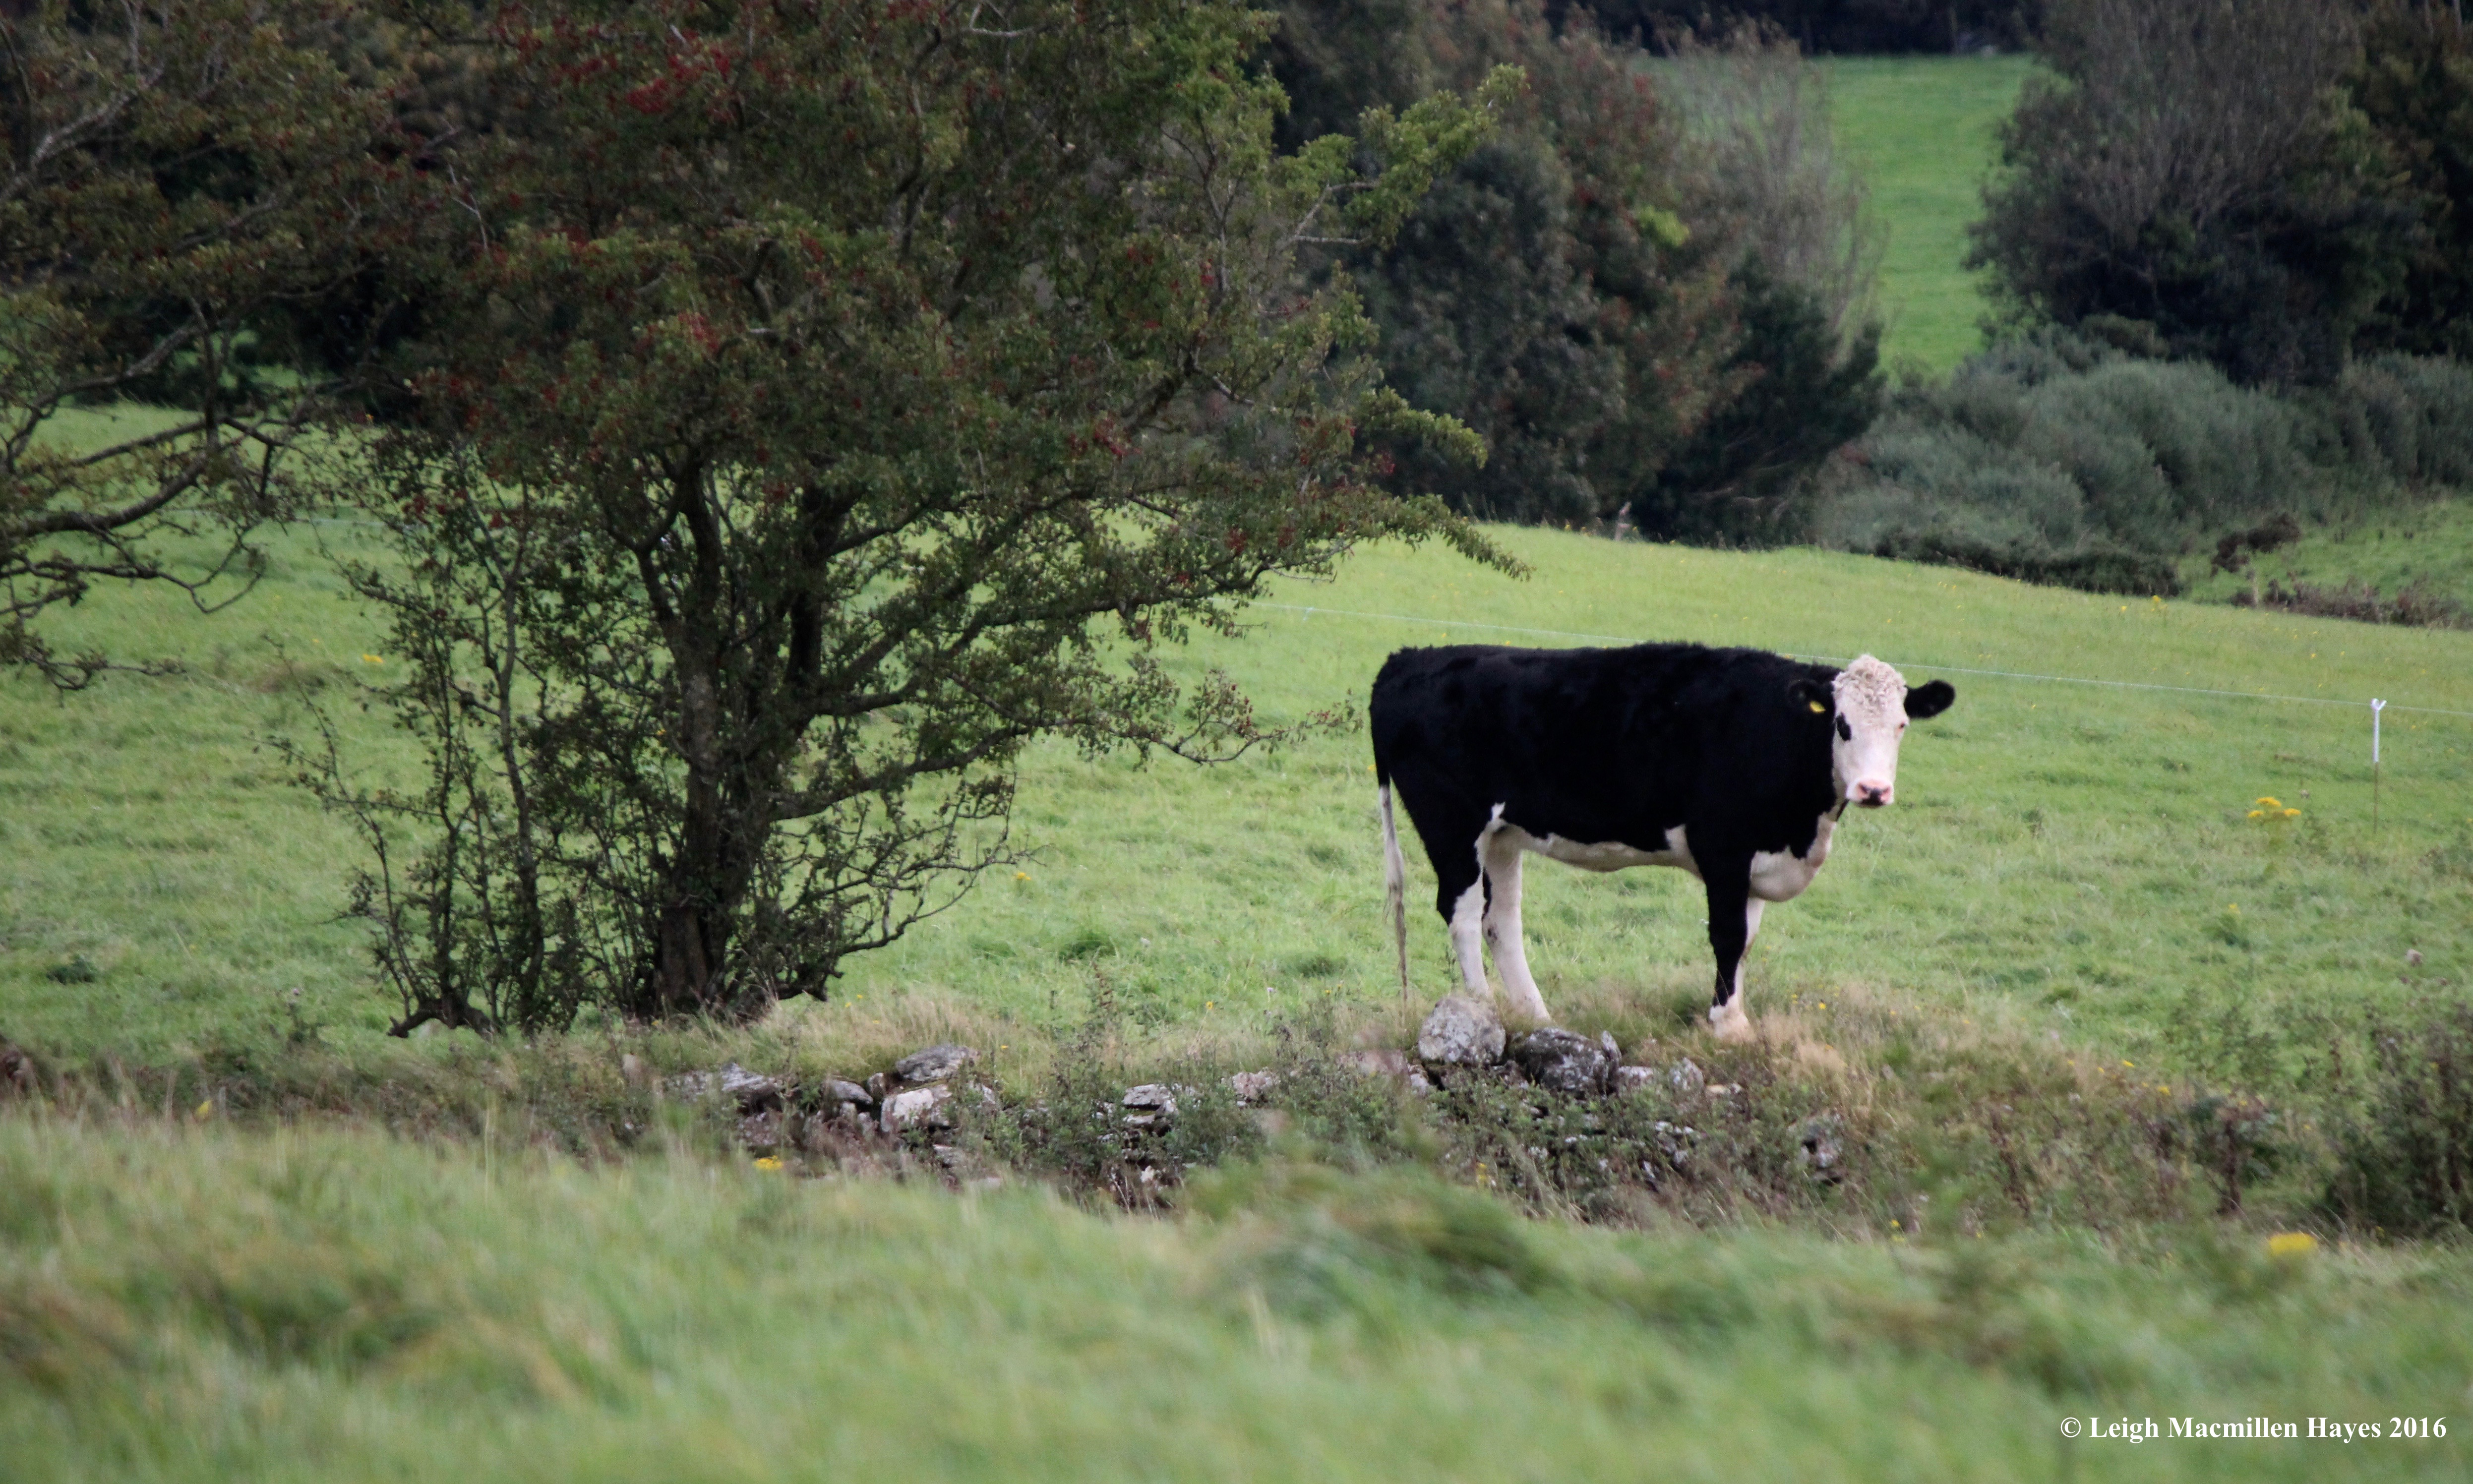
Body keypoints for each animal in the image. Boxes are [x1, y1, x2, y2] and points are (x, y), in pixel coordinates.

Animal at [1370, 643, 1954, 1040]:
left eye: (1901, 725)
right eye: (1842, 724)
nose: (1873, 790)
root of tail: (1410, 657)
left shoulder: (1756, 864)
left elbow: (1746, 941)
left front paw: (1734, 1014)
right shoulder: (1723, 847)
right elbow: (1727, 935)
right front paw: (1726, 1026)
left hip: (1502, 835)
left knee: (1501, 920)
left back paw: (1538, 1016)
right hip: (1452, 823)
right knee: (1463, 913)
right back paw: (1484, 1009)